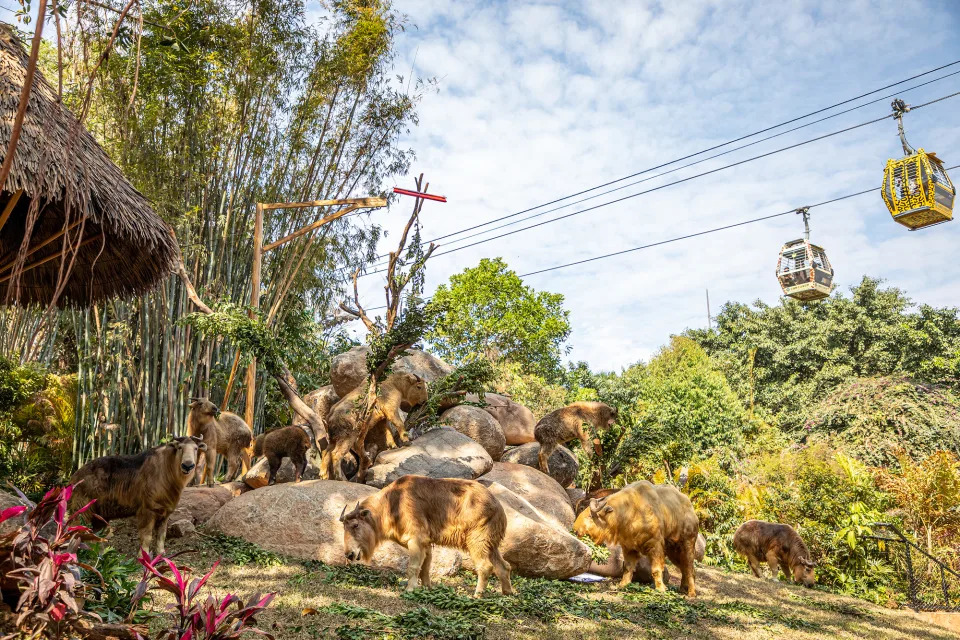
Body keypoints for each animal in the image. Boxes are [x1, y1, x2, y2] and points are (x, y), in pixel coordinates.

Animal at [67, 436, 206, 556]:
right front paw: (143, 556)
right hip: (81, 511)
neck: (167, 469)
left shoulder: (165, 512)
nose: (187, 465)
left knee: (96, 536)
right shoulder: (147, 511)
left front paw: (161, 554)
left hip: (100, 517)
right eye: (180, 448)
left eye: (196, 448)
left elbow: (162, 535)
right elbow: (147, 536)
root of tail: (74, 477)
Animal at [342, 472, 512, 596]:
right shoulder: (427, 544)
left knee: (485, 567)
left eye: (355, 525)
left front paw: (410, 589)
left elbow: (413, 567)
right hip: (491, 544)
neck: (392, 503)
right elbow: (425, 568)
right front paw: (427, 588)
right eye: (344, 527)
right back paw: (507, 593)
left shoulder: (416, 540)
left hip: (477, 542)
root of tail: (498, 506)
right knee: (504, 566)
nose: (349, 554)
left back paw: (477, 595)